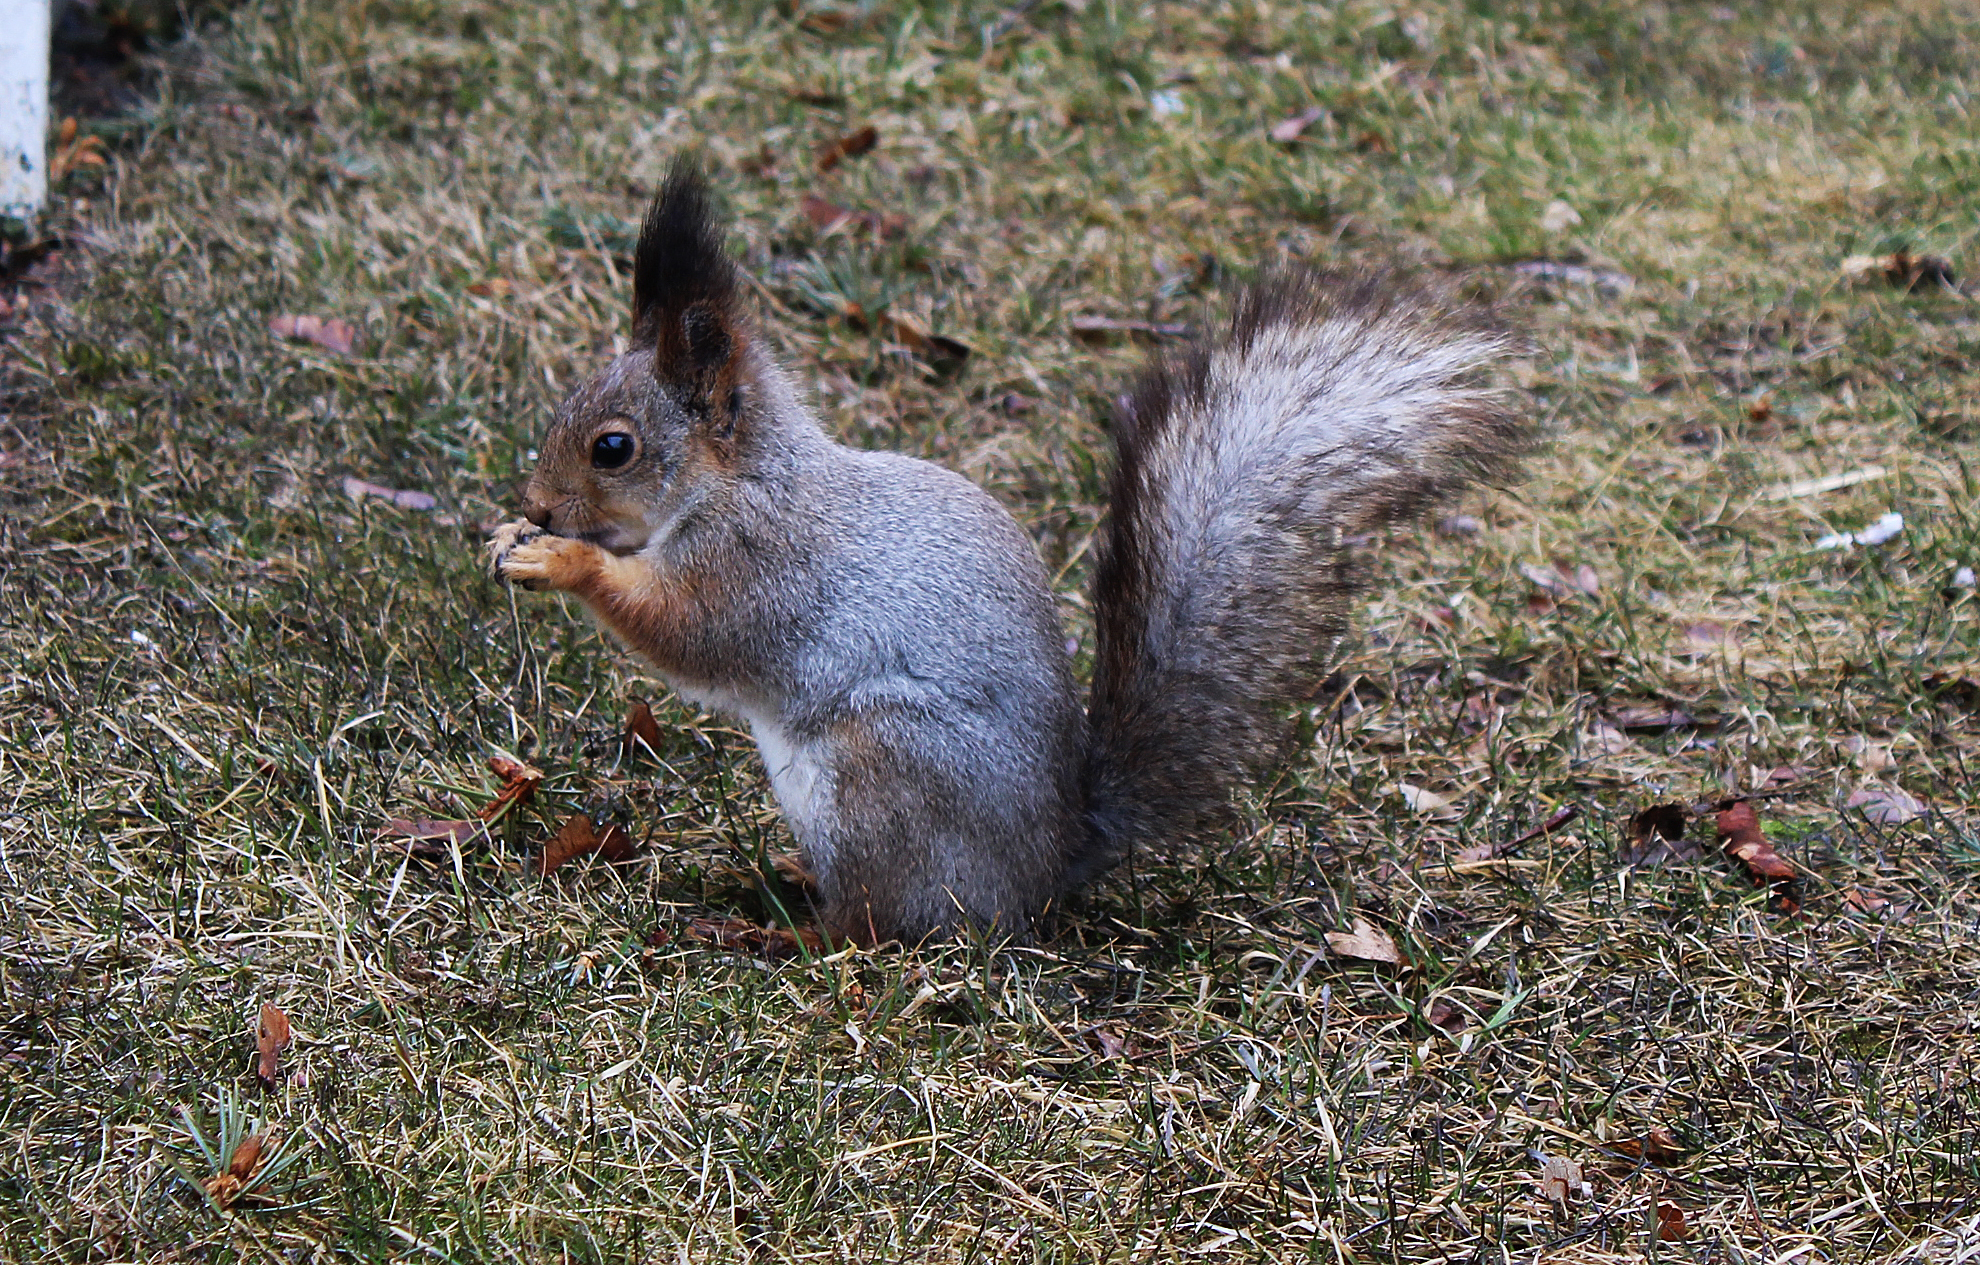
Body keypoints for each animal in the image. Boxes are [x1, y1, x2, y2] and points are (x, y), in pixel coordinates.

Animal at [483, 158, 1528, 946]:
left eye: (612, 447)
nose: (533, 503)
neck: (743, 478)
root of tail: (1047, 866)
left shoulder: (760, 563)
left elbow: (685, 631)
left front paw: (562, 561)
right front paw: (510, 537)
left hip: (879, 776)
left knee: (875, 924)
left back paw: (778, 929)